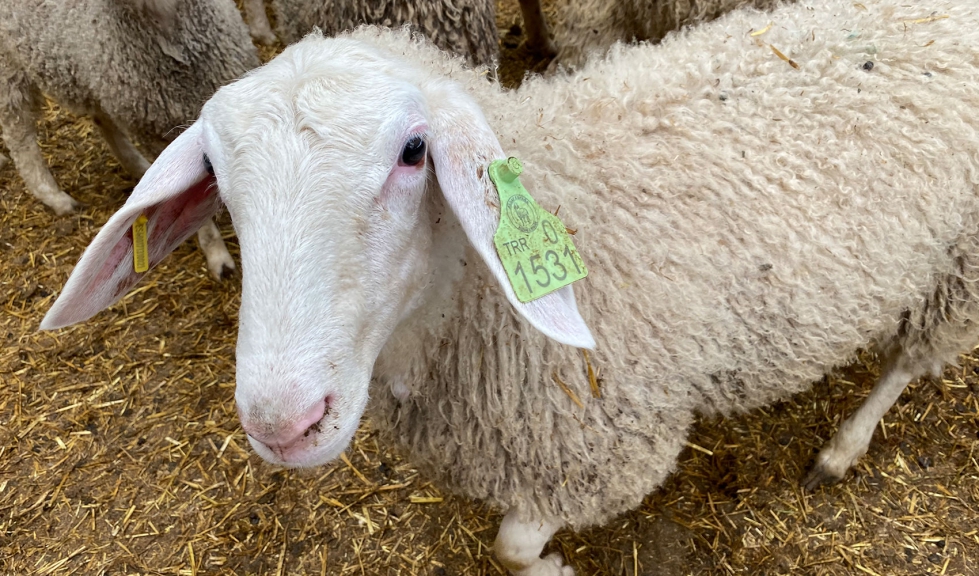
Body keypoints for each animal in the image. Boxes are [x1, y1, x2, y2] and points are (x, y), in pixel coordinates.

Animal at [0, 0, 259, 279]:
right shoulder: (151, 132)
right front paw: (216, 252)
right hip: (10, 70)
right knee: (20, 137)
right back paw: (55, 196)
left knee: (102, 119)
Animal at [40, 0, 979, 573]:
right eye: (217, 178)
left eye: (413, 152)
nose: (284, 424)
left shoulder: (608, 443)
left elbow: (513, 547)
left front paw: (557, 563)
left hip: (958, 263)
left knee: (908, 360)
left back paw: (841, 446)